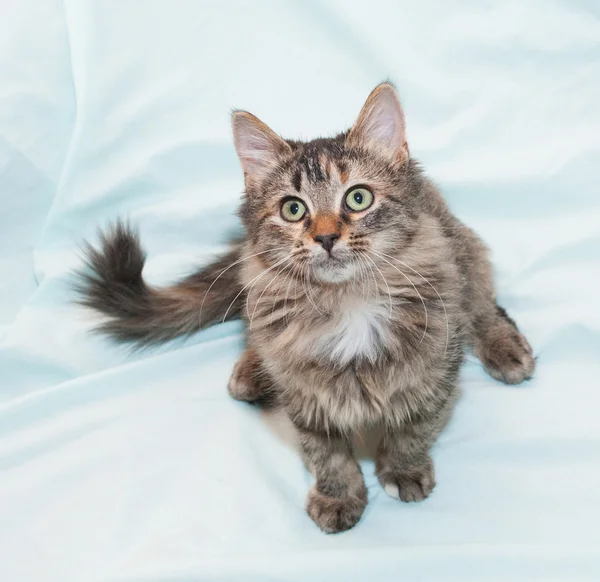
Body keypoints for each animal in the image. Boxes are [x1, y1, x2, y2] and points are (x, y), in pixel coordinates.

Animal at [75, 82, 536, 532]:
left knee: (483, 305)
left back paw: (507, 349)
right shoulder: (305, 396)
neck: (348, 303)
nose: (327, 237)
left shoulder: (435, 371)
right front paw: (339, 497)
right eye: (293, 209)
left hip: (466, 254)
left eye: (358, 199)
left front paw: (402, 471)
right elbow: (326, 453)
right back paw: (251, 372)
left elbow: (413, 430)